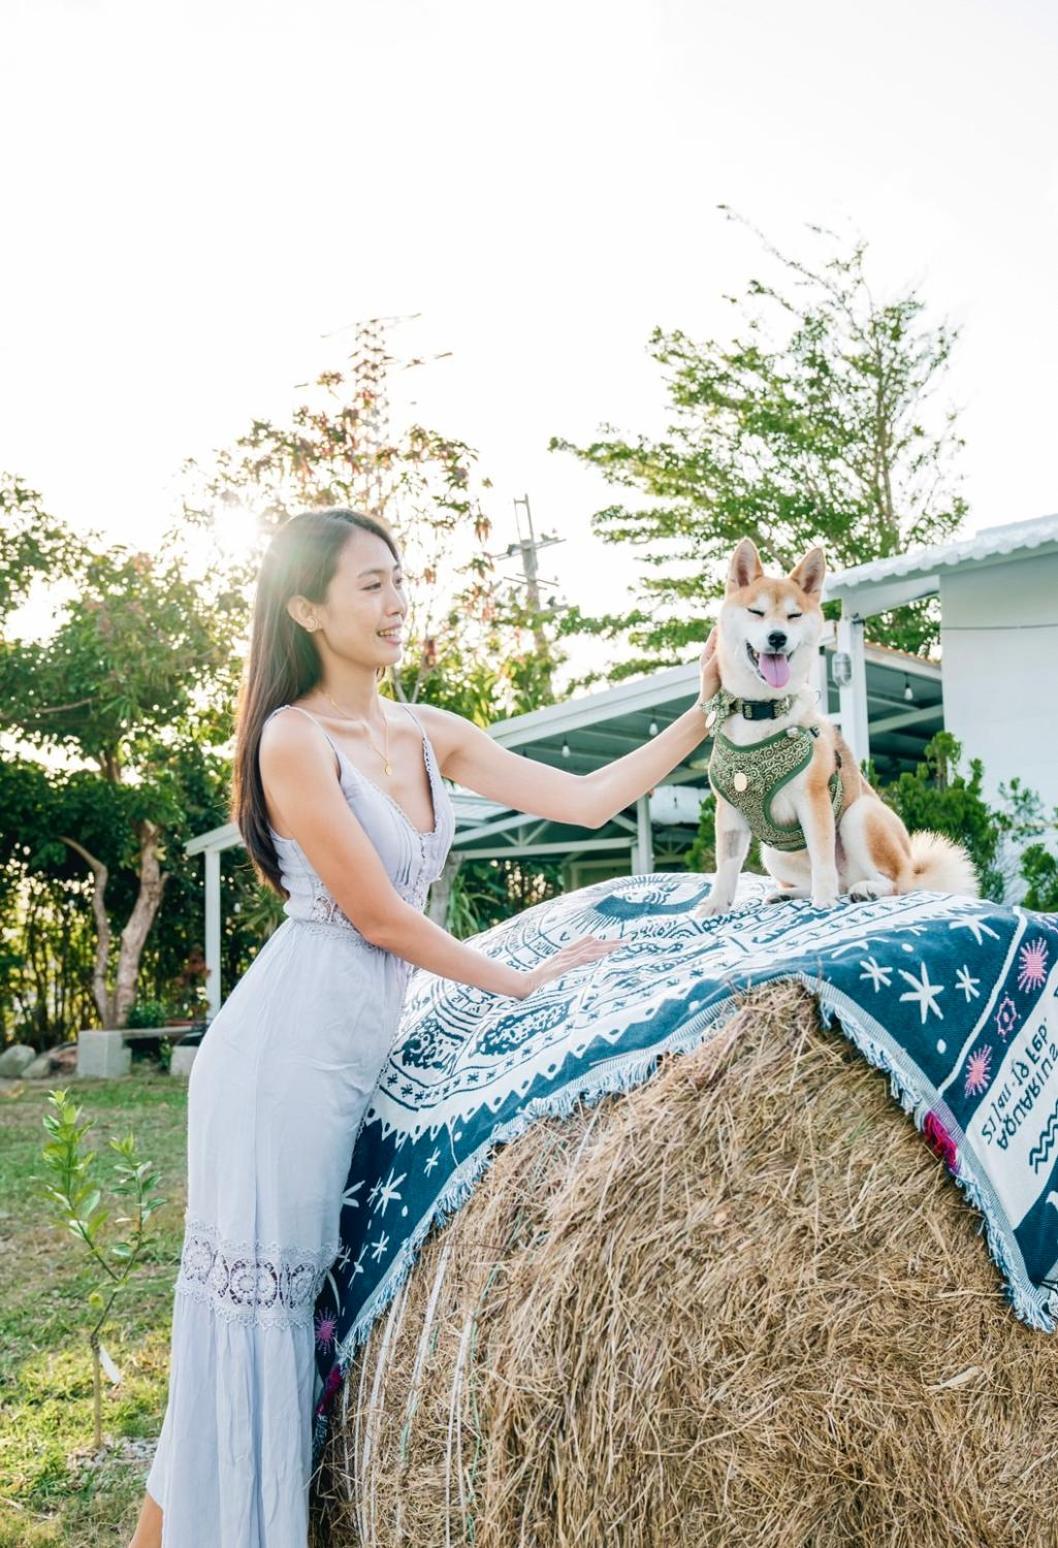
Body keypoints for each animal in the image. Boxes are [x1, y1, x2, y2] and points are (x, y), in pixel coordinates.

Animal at [700, 538, 978, 910]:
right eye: (756, 612)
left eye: (794, 615)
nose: (777, 637)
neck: (763, 711)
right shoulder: (729, 811)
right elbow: (726, 866)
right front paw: (714, 906)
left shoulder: (814, 799)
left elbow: (822, 859)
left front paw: (823, 903)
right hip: (772, 851)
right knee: (838, 881)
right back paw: (791, 893)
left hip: (859, 816)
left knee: (895, 883)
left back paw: (866, 889)